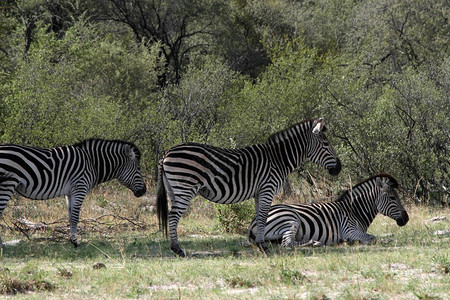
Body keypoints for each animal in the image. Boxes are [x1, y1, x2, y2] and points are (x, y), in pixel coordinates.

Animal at [0, 139, 146, 247]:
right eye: (138, 168)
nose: (144, 191)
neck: (92, 163)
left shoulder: (69, 193)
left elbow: (70, 217)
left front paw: (71, 239)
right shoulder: (80, 189)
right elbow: (76, 217)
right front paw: (76, 242)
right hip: (7, 184)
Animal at [157, 117, 342, 255]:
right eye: (326, 144)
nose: (339, 168)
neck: (278, 160)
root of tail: (167, 152)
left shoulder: (259, 192)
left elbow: (259, 217)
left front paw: (260, 244)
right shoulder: (267, 188)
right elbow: (263, 216)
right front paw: (264, 246)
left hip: (174, 189)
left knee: (172, 216)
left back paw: (175, 247)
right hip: (185, 187)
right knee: (174, 216)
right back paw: (177, 249)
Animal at [248, 173, 410, 246]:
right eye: (392, 198)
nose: (406, 218)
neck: (355, 212)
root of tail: (252, 222)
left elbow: (382, 236)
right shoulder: (349, 230)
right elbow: (373, 238)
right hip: (290, 220)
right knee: (288, 243)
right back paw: (314, 243)